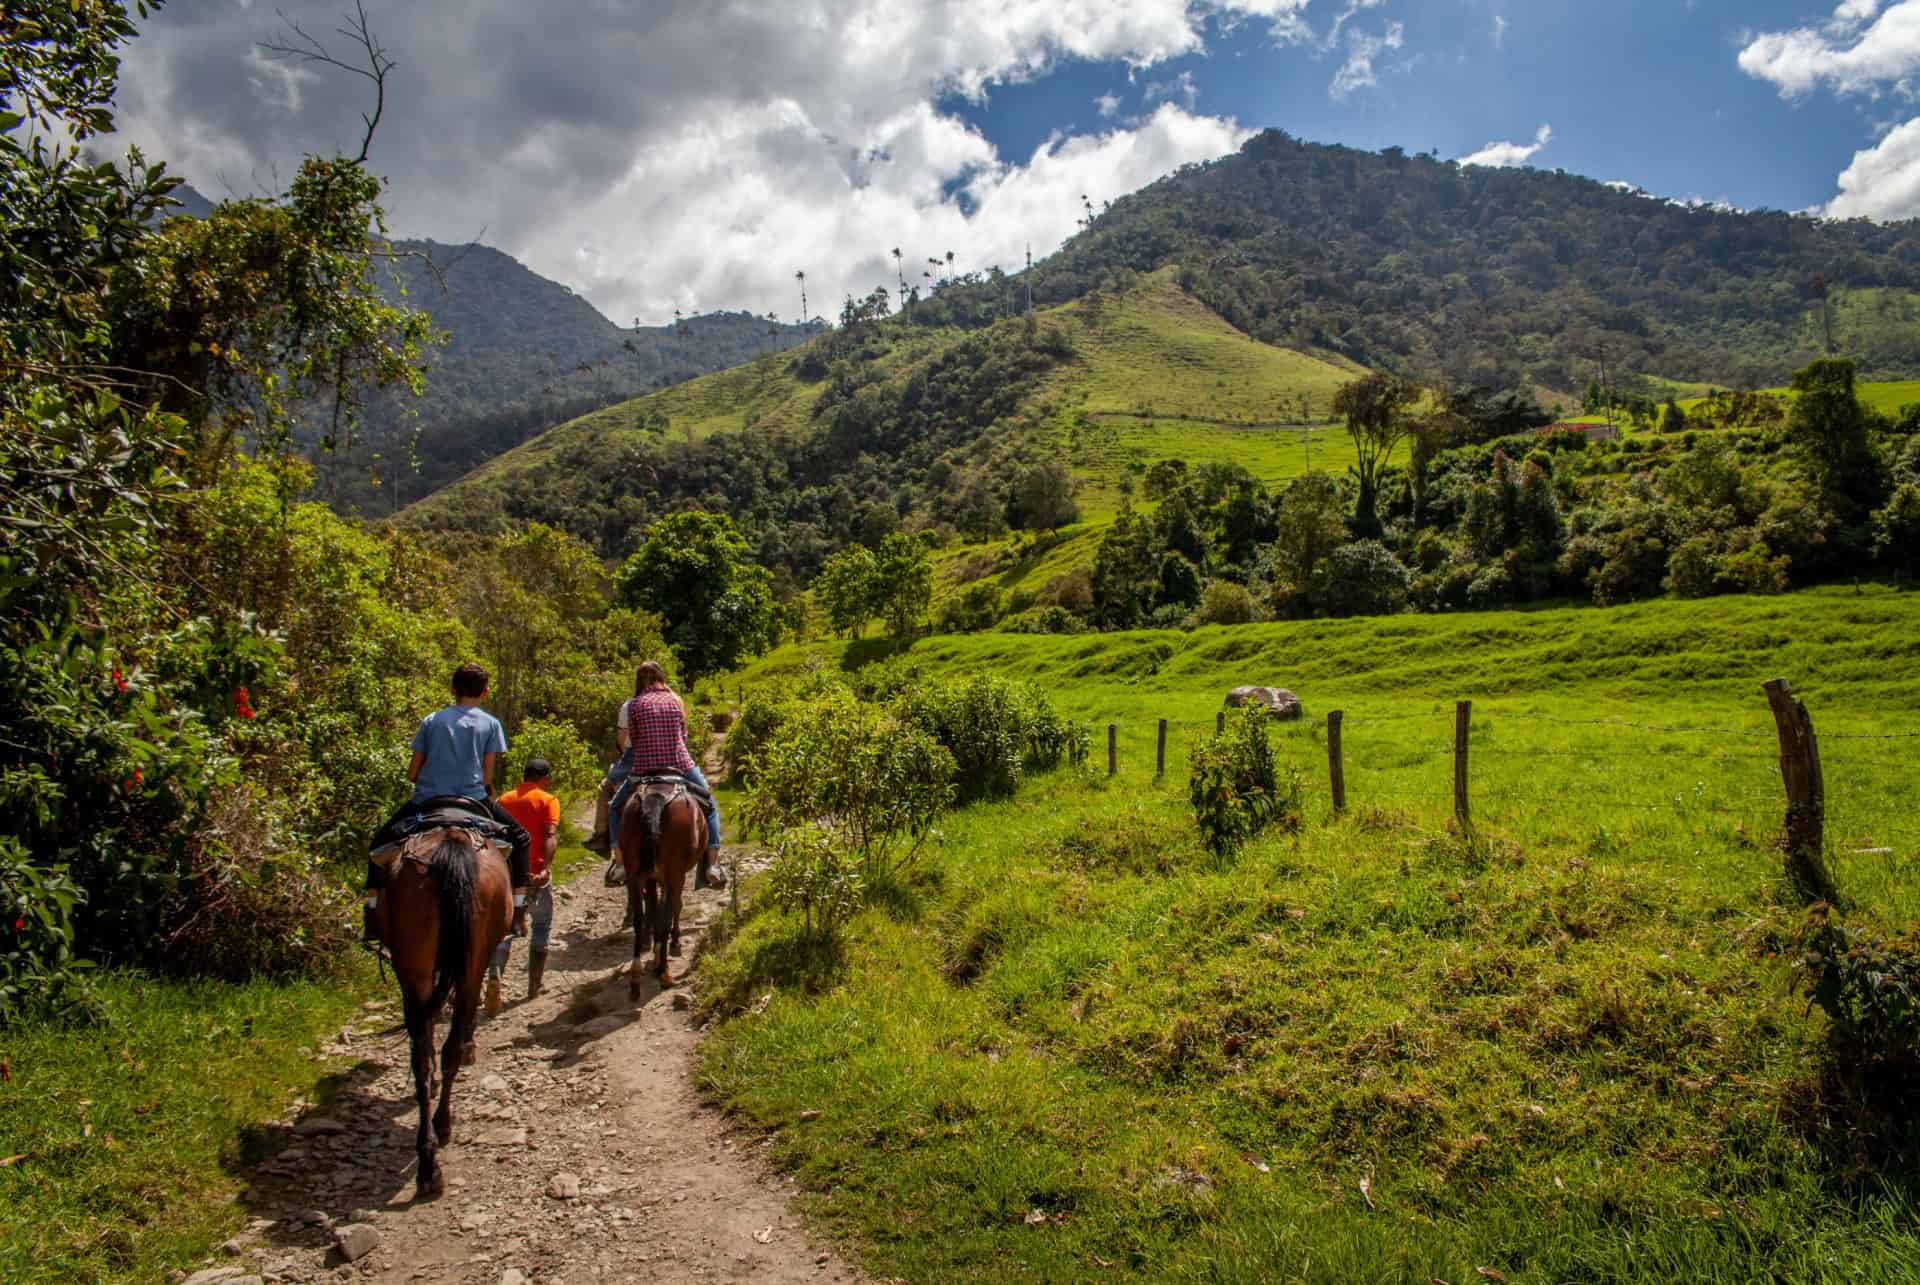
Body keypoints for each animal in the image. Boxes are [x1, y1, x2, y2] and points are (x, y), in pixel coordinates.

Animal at [614, 772, 706, 991]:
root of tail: (656, 796)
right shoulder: (675, 876)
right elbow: (674, 907)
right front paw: (674, 944)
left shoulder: (652, 878)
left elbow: (654, 909)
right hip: (673, 873)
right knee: (665, 916)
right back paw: (664, 973)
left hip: (635, 874)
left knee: (639, 917)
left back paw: (636, 973)